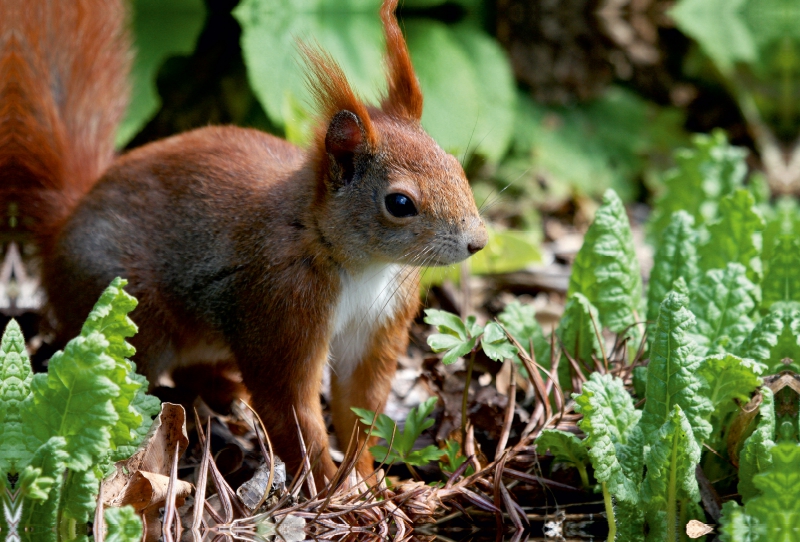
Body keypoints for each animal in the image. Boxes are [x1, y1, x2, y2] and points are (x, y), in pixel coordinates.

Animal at [6, 0, 488, 484]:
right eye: (400, 202)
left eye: (455, 166)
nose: (478, 242)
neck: (360, 264)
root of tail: (63, 225)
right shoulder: (279, 307)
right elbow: (292, 412)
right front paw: (332, 487)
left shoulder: (379, 323)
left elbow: (360, 409)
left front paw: (369, 480)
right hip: (129, 318)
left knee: (195, 371)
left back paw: (229, 394)